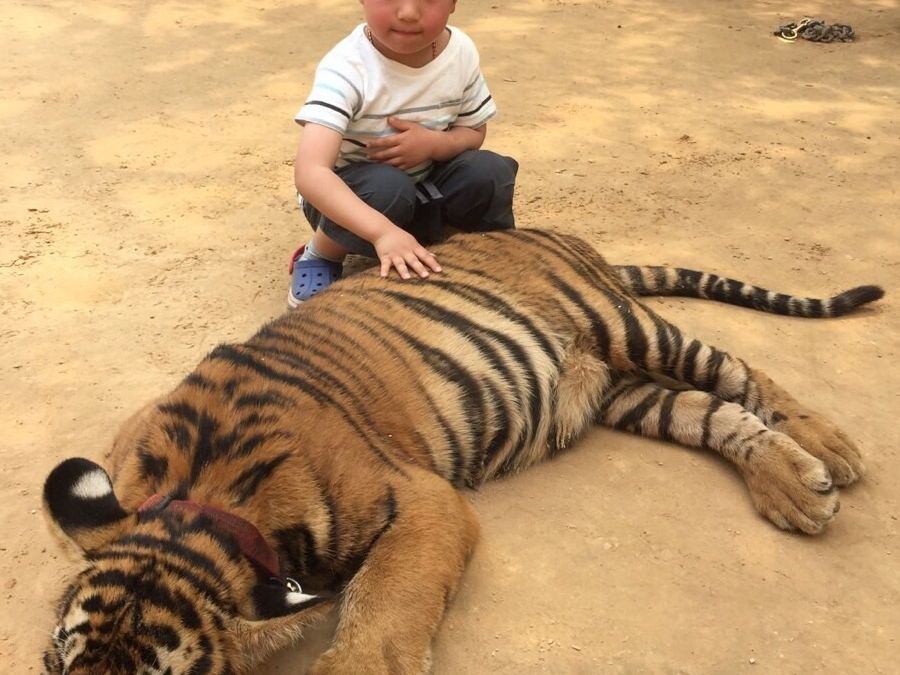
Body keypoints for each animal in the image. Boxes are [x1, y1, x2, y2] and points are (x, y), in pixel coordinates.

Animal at [42, 228, 882, 675]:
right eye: (57, 662)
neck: (199, 500)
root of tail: (566, 236)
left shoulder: (421, 500)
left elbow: (383, 607)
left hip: (626, 327)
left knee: (740, 370)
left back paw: (830, 450)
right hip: (624, 392)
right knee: (713, 415)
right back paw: (794, 487)